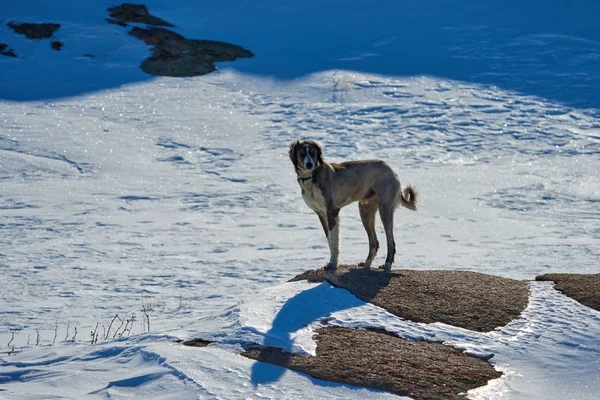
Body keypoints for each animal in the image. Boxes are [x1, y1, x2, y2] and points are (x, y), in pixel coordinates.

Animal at [290, 138, 418, 272]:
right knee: (374, 242)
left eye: (313, 153)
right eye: (302, 154)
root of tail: (391, 169)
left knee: (391, 242)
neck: (311, 178)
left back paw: (387, 264)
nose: (309, 165)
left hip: (385, 210)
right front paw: (331, 263)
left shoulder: (332, 212)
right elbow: (330, 240)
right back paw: (366, 264)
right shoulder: (321, 214)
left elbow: (334, 242)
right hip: (365, 210)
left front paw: (333, 264)